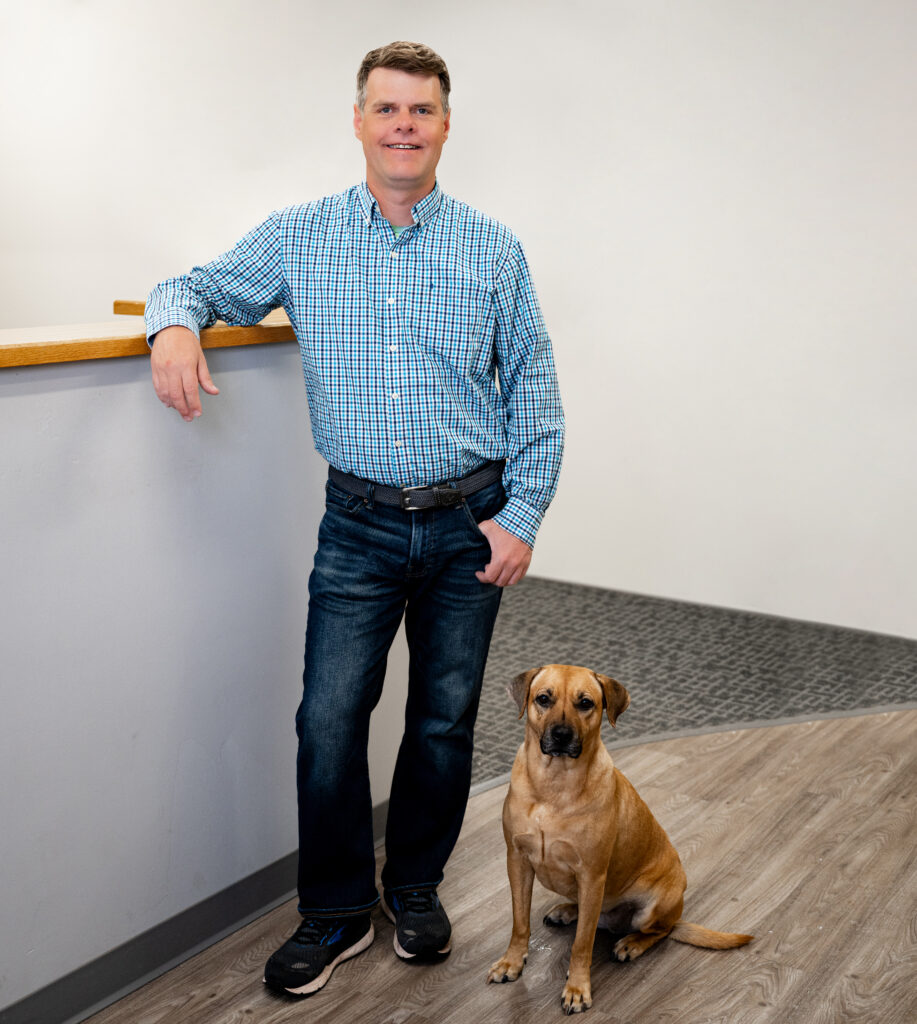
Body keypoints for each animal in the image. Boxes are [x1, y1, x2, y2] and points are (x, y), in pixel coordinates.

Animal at [486, 665, 752, 1015]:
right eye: (543, 698)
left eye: (585, 703)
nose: (561, 735)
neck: (553, 784)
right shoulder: (517, 861)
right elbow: (520, 923)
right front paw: (512, 962)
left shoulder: (592, 874)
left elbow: (582, 944)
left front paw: (577, 988)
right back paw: (567, 911)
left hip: (653, 905)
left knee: (659, 931)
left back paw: (631, 943)